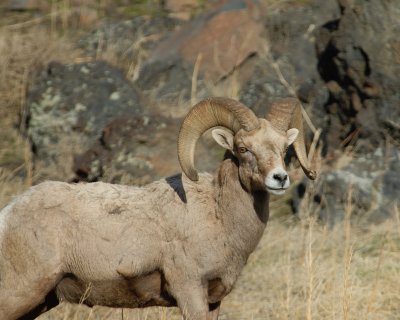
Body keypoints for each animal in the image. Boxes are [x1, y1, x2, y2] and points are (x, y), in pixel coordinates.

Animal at [0, 97, 316, 320]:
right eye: (242, 149)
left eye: (284, 149)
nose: (279, 178)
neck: (219, 217)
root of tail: (8, 213)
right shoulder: (190, 291)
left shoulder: (214, 299)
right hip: (21, 293)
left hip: (42, 301)